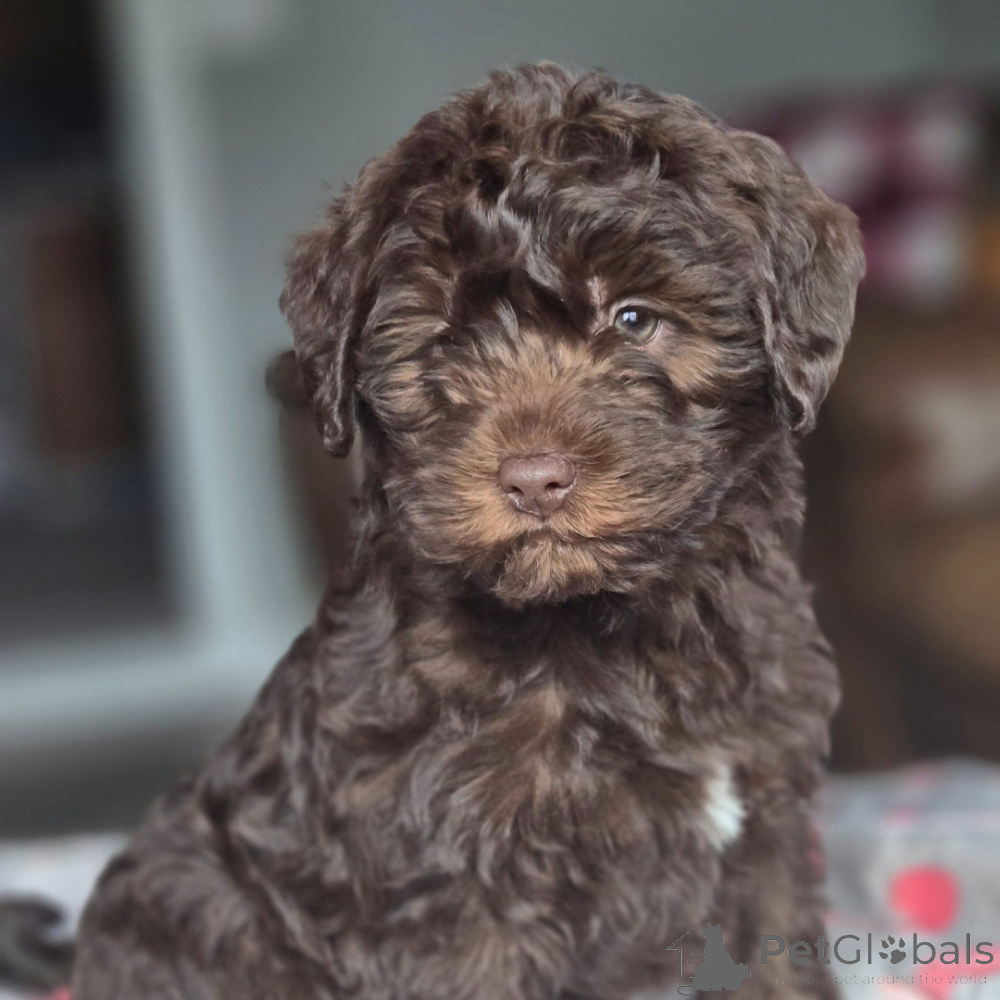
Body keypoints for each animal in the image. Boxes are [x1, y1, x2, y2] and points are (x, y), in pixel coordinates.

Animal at [73, 63, 864, 1000]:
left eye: (634, 318)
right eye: (444, 340)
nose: (533, 478)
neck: (611, 630)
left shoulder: (767, 822)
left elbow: (776, 960)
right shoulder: (457, 896)